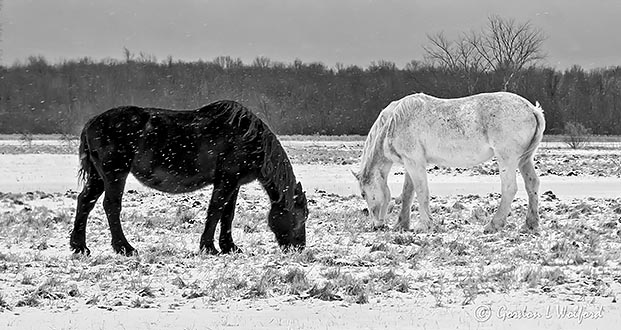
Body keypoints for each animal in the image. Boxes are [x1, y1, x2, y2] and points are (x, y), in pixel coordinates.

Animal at [70, 100, 308, 255]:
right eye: (301, 216)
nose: (299, 247)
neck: (249, 137)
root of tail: (91, 123)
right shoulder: (227, 180)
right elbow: (215, 210)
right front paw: (209, 247)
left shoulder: (234, 183)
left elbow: (227, 214)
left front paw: (229, 247)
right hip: (115, 173)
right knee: (111, 206)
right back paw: (124, 248)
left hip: (98, 177)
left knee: (85, 202)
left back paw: (80, 247)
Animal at [352, 91, 544, 233]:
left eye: (363, 194)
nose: (376, 226)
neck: (395, 122)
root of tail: (531, 109)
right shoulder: (410, 163)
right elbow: (408, 193)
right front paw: (401, 225)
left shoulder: (414, 162)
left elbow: (421, 192)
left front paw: (425, 225)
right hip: (524, 160)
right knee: (532, 184)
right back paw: (530, 224)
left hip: (507, 159)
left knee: (509, 189)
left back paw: (493, 225)